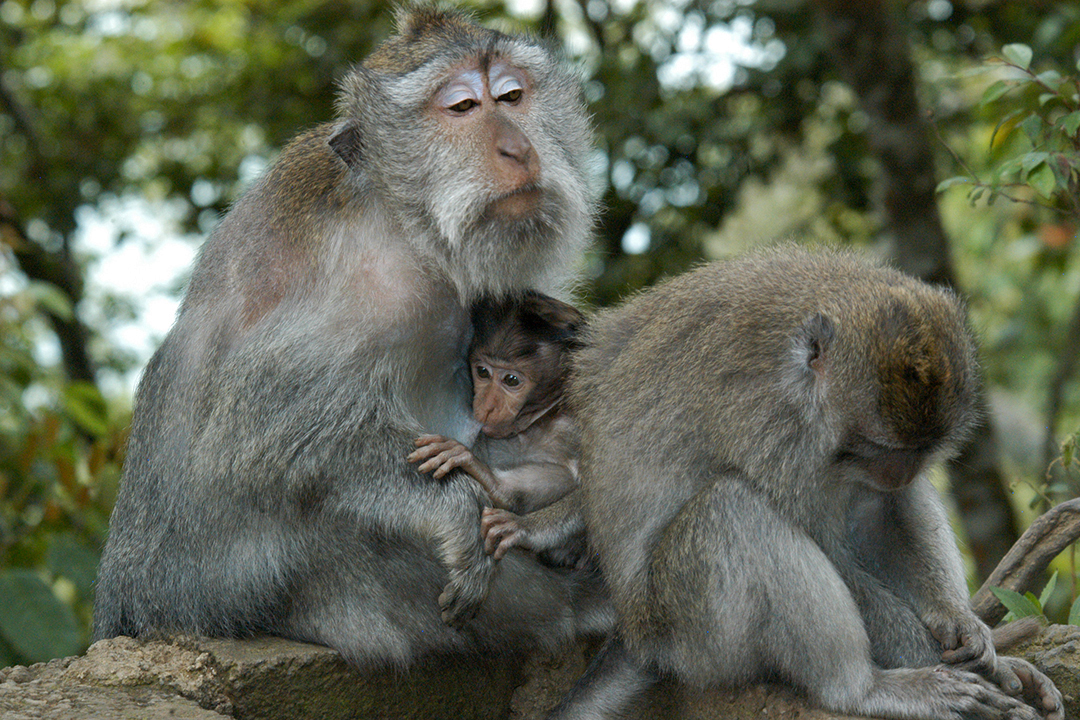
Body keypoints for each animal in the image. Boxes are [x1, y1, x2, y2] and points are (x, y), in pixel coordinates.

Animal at [408, 290, 589, 565]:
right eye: (482, 372)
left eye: (511, 380)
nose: (486, 406)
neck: (539, 422)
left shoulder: (578, 419)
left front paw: (525, 528)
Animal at [549, 246, 1063, 720]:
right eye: (874, 445)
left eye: (921, 449)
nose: (896, 473)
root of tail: (635, 633)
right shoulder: (774, 430)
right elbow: (831, 548)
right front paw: (964, 667)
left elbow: (884, 512)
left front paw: (964, 628)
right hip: (687, 635)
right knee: (732, 510)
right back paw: (864, 689)